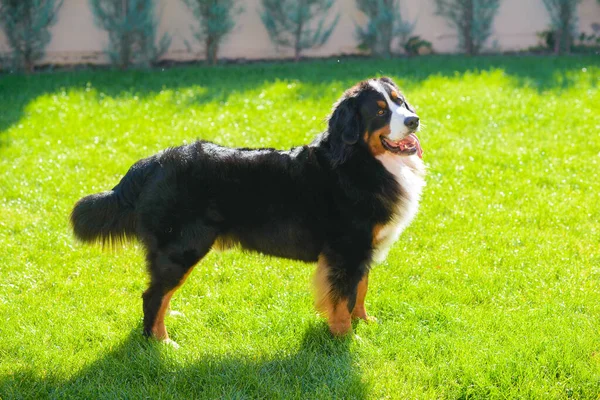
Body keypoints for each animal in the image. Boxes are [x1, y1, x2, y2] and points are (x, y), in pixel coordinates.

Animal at [70, 76, 424, 344]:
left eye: (400, 102)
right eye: (380, 111)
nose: (413, 120)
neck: (361, 161)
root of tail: (154, 161)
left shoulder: (363, 249)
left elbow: (359, 291)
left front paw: (365, 321)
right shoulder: (346, 249)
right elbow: (341, 300)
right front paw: (347, 338)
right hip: (182, 247)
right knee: (153, 296)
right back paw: (162, 341)